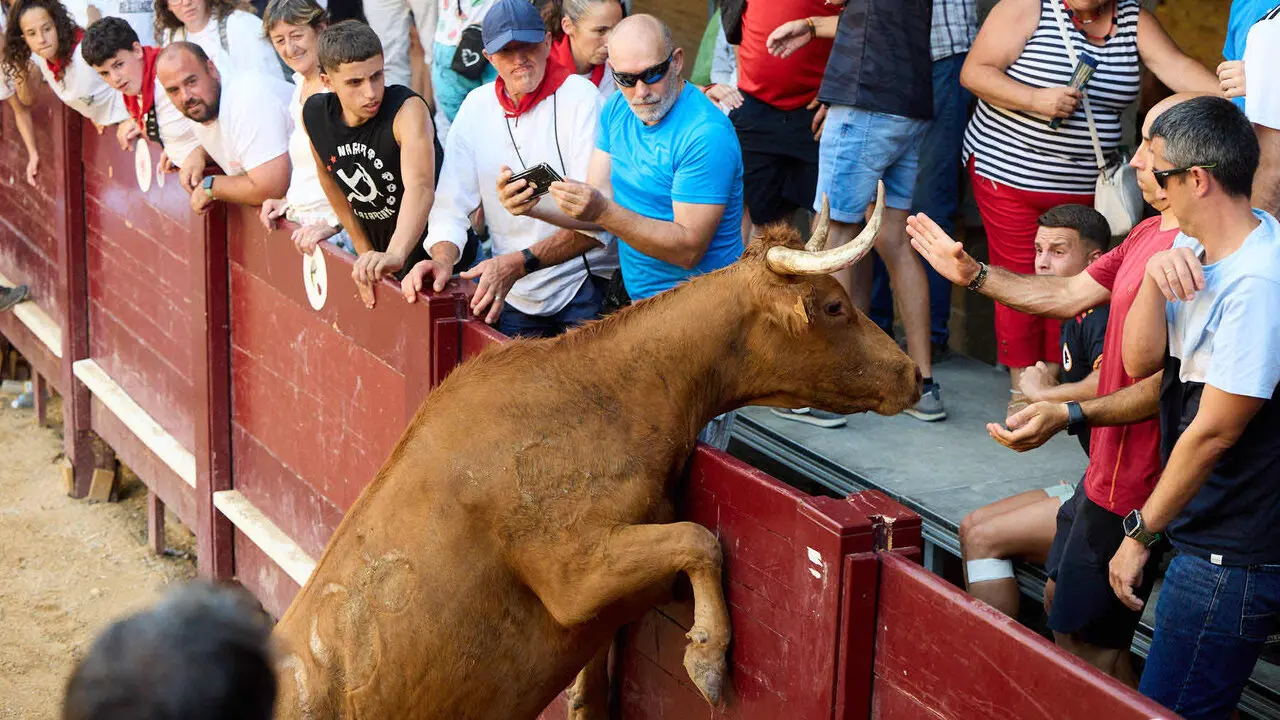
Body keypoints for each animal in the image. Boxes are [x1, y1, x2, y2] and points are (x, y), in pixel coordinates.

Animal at [272, 184, 920, 719]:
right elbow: (701, 539)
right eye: (835, 306)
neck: (605, 392)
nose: (913, 374)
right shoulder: (573, 575)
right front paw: (707, 659)